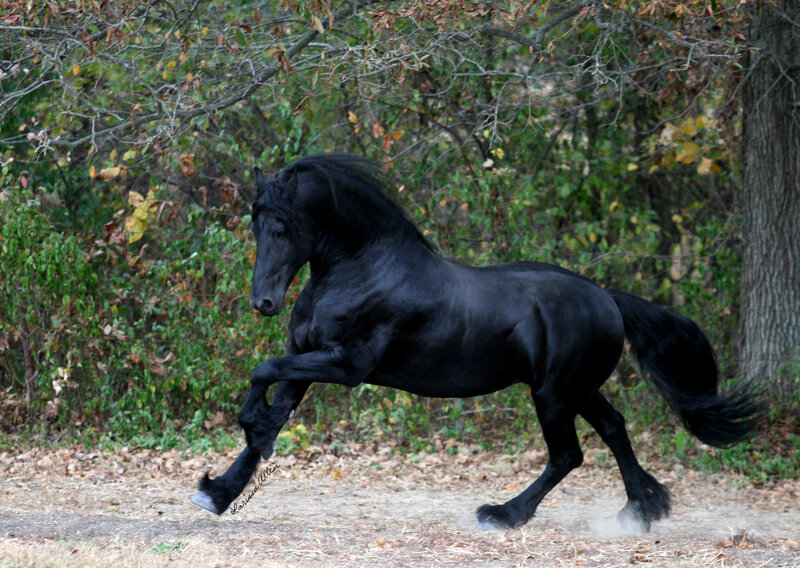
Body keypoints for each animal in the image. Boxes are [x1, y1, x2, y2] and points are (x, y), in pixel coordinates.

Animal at [191, 153, 759, 530]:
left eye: (283, 228)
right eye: (255, 225)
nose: (263, 302)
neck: (363, 268)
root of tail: (607, 299)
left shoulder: (345, 365)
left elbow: (263, 372)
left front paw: (251, 427)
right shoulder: (306, 358)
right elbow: (271, 404)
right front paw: (218, 491)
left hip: (553, 394)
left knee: (568, 455)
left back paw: (505, 514)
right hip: (576, 388)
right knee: (615, 429)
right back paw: (642, 509)